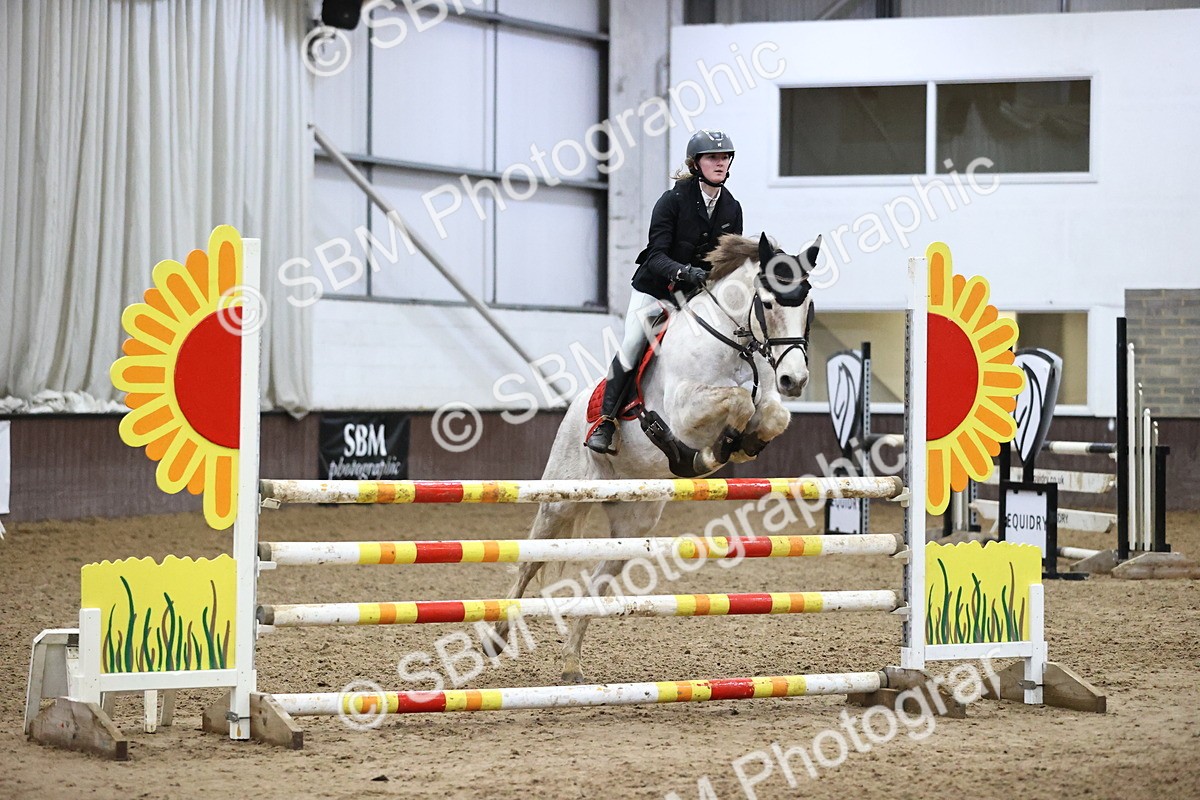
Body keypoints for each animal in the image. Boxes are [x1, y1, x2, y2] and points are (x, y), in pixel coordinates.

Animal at [487, 232, 817, 684]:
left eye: (808, 305)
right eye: (767, 304)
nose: (794, 380)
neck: (733, 345)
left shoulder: (764, 401)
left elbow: (770, 414)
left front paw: (739, 445)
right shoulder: (684, 409)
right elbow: (737, 401)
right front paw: (708, 454)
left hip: (632, 525)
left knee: (595, 584)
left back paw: (571, 663)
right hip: (560, 501)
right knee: (530, 560)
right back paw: (496, 636)